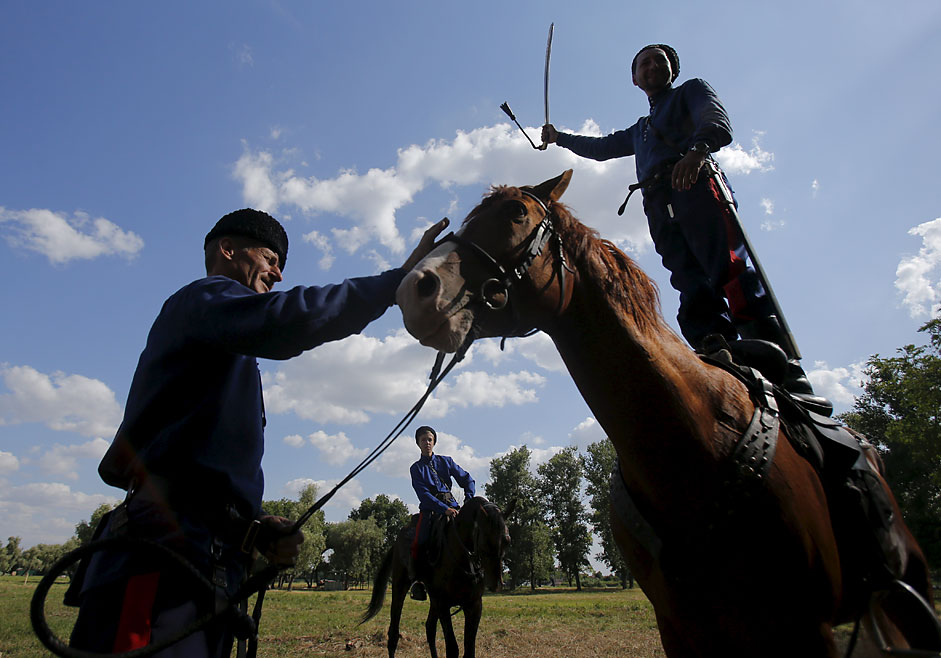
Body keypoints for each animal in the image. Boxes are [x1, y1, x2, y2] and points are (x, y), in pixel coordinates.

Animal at [362, 494, 510, 652]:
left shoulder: (473, 605)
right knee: (394, 633)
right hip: (400, 587)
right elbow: (452, 648)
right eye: (485, 540)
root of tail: (397, 541)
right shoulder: (443, 605)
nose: (496, 584)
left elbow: (469, 649)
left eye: (507, 540)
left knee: (430, 627)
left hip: (433, 599)